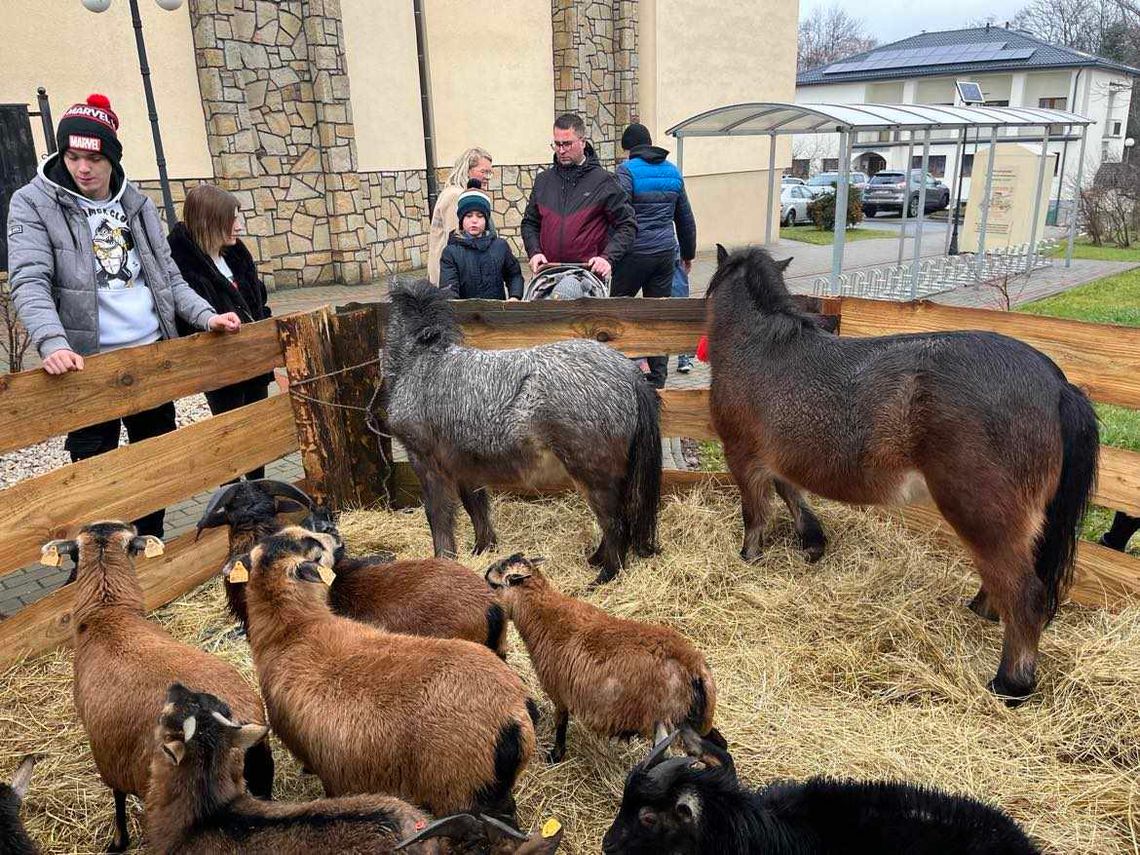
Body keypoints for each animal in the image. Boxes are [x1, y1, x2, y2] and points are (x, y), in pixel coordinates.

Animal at [481, 556, 720, 761]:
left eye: (492, 583)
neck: (545, 617)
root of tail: (693, 662)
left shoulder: (560, 692)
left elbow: (561, 724)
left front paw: (555, 756)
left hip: (663, 720)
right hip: (685, 719)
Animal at [706, 246, 1098, 702]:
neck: (762, 347)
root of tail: (1057, 386)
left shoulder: (744, 456)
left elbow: (756, 512)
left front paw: (750, 557)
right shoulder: (779, 458)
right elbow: (791, 494)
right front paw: (812, 541)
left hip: (982, 514)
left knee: (1024, 593)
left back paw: (1011, 682)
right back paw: (983, 612)